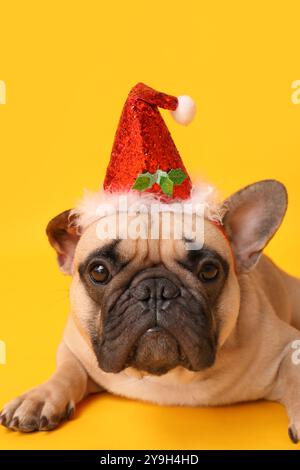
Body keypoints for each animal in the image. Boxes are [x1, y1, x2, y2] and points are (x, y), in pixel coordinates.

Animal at [1, 177, 300, 444]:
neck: (166, 377)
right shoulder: (74, 346)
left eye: (209, 271)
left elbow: (294, 375)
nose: (156, 289)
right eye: (99, 271)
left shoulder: (288, 347)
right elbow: (66, 370)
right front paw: (39, 397)